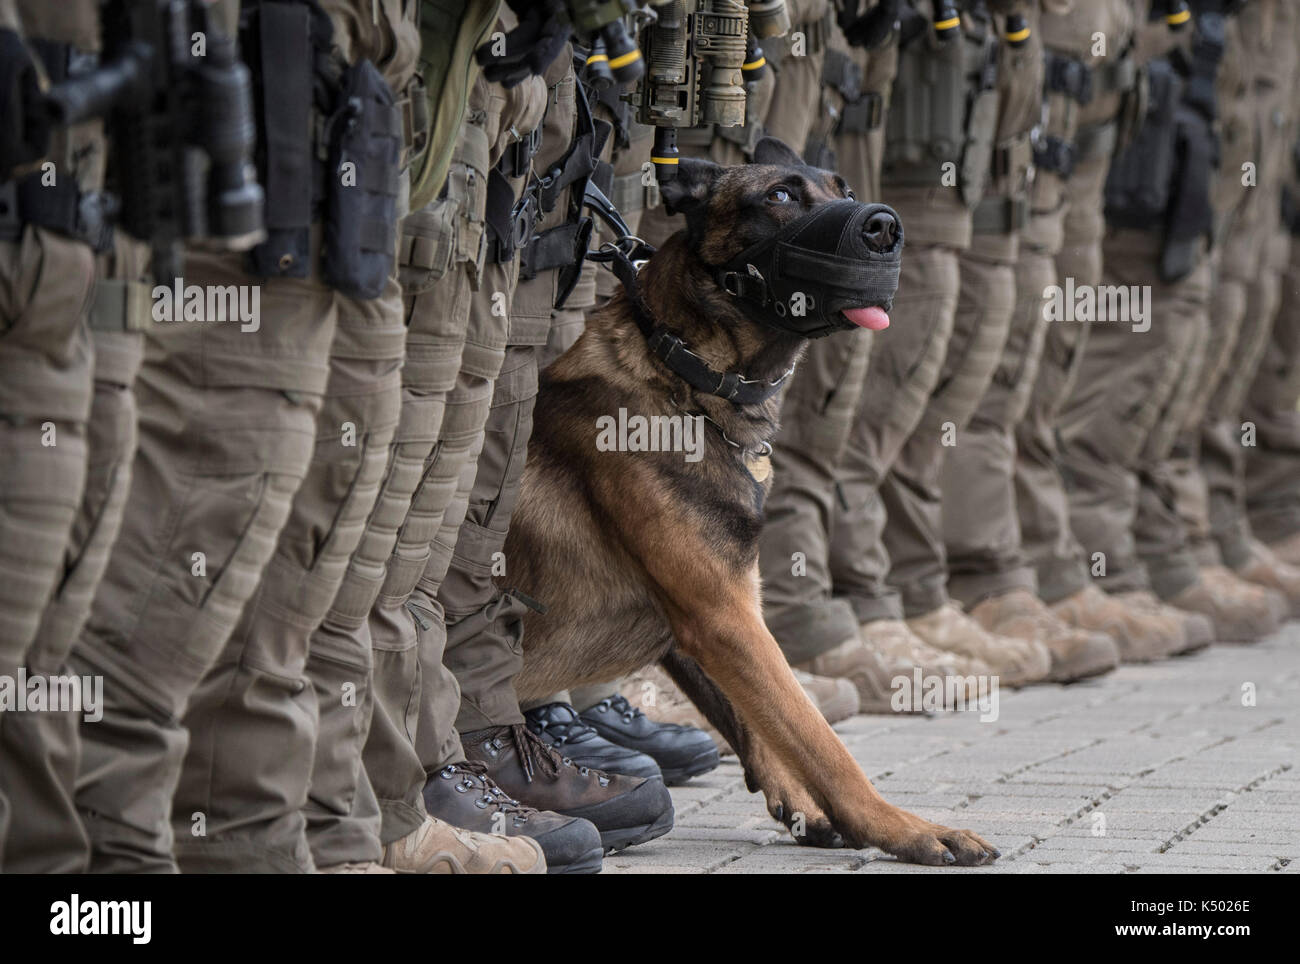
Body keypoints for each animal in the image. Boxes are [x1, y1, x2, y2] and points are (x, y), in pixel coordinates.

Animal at [501, 135, 998, 867]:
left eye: (843, 188)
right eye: (781, 196)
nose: (885, 226)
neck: (687, 377)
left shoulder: (714, 615)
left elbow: (759, 723)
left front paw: (805, 807)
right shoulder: (724, 616)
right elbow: (817, 734)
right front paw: (898, 826)